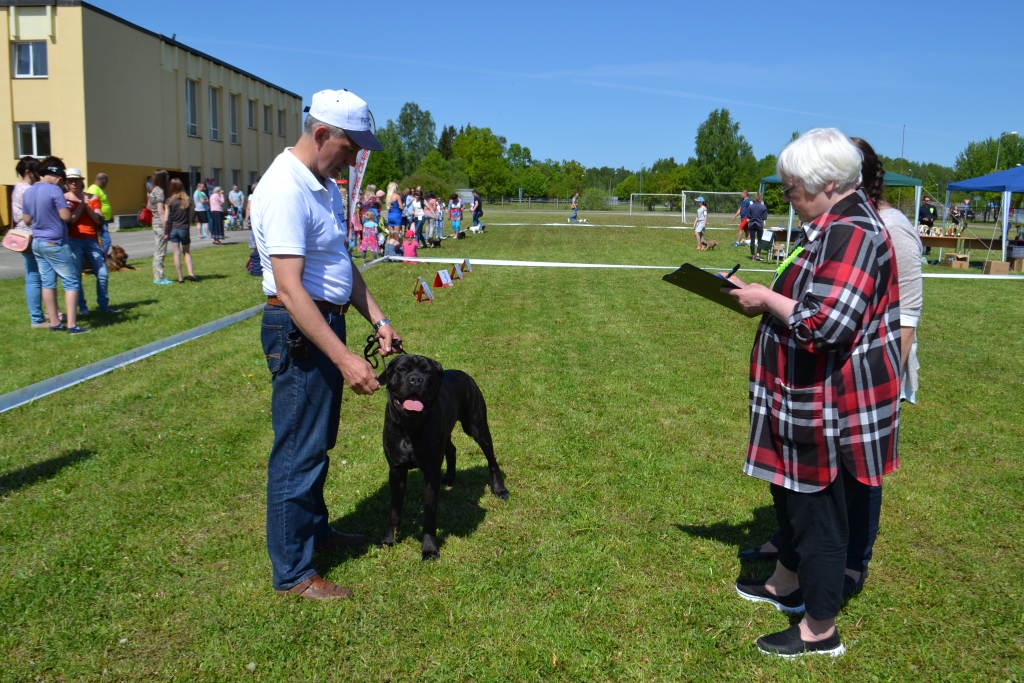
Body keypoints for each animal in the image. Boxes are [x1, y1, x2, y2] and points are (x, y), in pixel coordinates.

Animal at [380, 356, 507, 557]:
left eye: (427, 372)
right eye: (401, 370)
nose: (416, 379)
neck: (411, 425)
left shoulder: (431, 473)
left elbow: (429, 515)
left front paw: (429, 549)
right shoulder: (397, 471)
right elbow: (394, 510)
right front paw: (389, 540)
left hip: (477, 427)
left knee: (492, 459)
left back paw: (499, 489)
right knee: (451, 449)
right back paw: (449, 477)